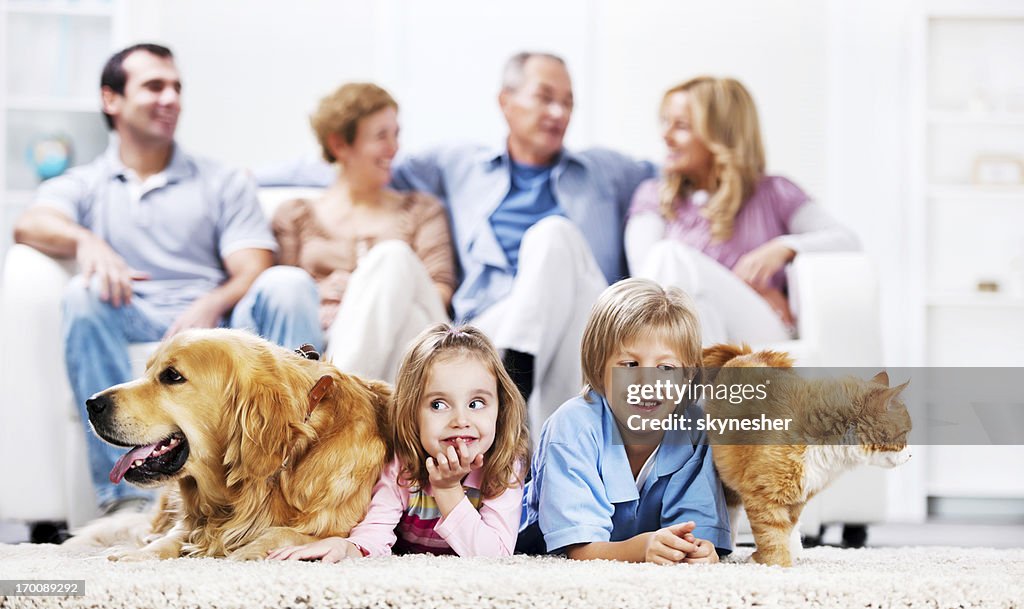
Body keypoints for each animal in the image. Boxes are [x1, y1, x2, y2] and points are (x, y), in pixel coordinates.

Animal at [80, 331, 387, 560]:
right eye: (147, 370)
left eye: (172, 375)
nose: (92, 404)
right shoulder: (191, 520)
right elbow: (173, 536)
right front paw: (138, 554)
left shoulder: (337, 527)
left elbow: (287, 534)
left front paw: (247, 552)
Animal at [704, 345, 913, 569]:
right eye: (905, 434)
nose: (910, 455)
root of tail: (749, 355)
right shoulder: (764, 493)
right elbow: (772, 535)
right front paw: (777, 564)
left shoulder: (797, 496)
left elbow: (784, 530)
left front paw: (767, 558)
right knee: (731, 517)